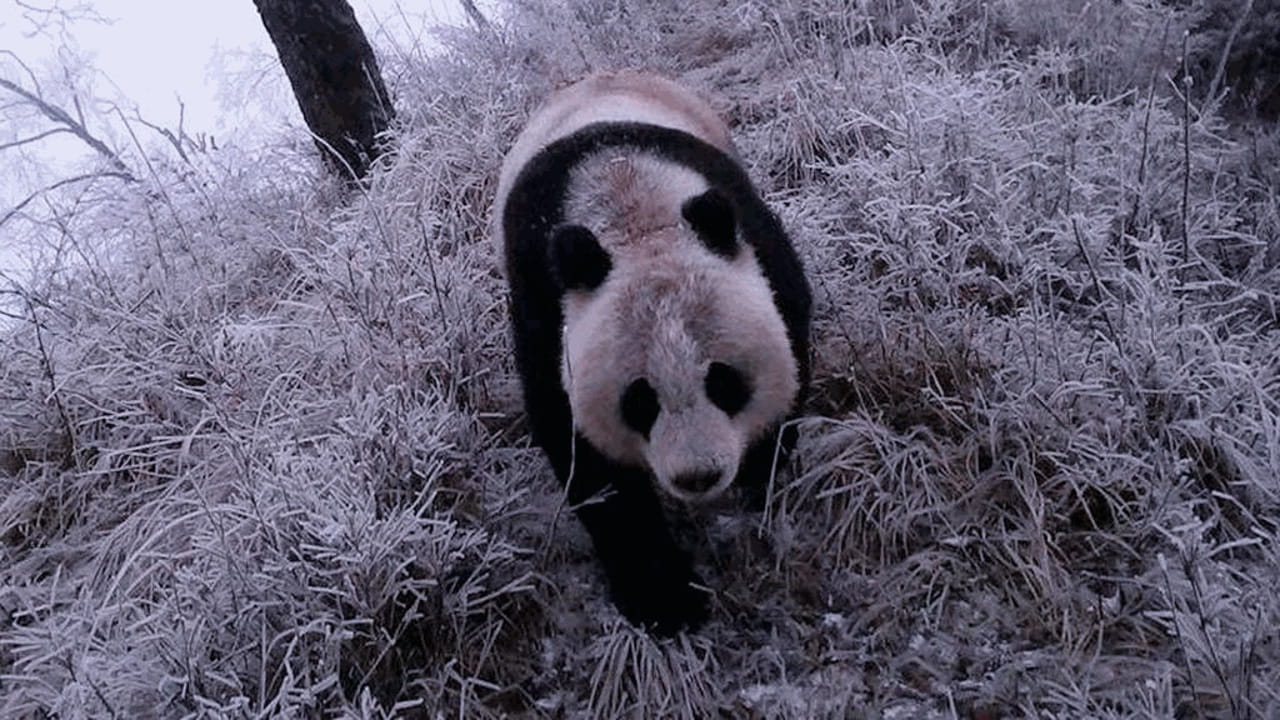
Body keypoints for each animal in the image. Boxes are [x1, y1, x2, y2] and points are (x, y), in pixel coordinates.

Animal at [494, 71, 811, 635]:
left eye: (723, 381)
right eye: (640, 399)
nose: (698, 476)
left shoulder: (760, 250)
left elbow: (791, 356)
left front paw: (761, 478)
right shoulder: (543, 306)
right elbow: (584, 453)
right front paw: (666, 601)